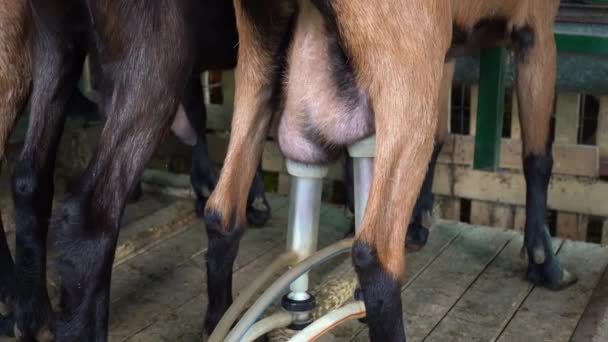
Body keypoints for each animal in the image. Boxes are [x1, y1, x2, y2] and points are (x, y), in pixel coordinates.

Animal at [205, 1, 568, 340]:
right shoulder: (535, 30)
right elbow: (538, 156)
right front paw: (544, 260)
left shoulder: (448, 52)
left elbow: (440, 137)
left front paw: (420, 220)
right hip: (407, 69)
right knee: (376, 253)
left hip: (257, 56)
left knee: (222, 211)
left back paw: (217, 319)